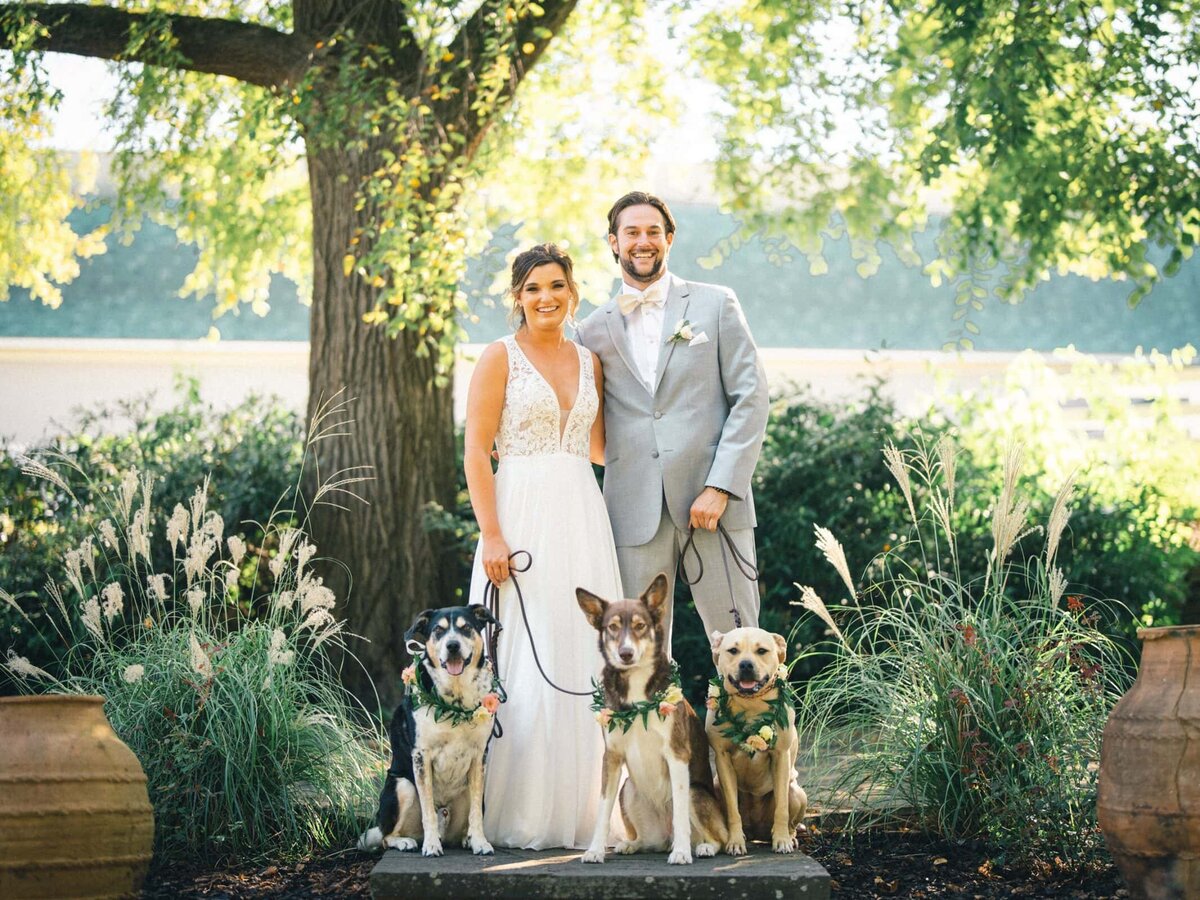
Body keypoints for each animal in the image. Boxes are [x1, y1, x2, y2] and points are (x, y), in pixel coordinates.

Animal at [360, 607, 501, 859]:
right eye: (438, 630)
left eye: (466, 627)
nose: (452, 645)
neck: (455, 698)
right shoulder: (421, 756)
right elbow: (428, 811)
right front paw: (431, 846)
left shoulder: (479, 756)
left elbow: (476, 812)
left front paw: (480, 842)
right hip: (403, 787)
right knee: (386, 837)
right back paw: (406, 842)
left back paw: (466, 839)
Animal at [705, 628, 811, 854]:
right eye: (733, 650)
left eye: (761, 650)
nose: (746, 664)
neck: (750, 703)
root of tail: (756, 832)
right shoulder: (722, 758)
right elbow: (732, 810)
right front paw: (735, 842)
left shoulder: (781, 756)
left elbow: (781, 807)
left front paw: (782, 840)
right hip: (716, 787)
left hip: (797, 793)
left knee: (790, 816)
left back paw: (789, 837)